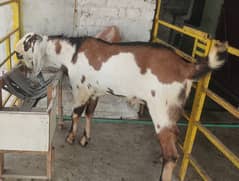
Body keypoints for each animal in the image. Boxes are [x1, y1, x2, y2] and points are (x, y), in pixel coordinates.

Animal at [14, 31, 228, 180]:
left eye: (25, 44)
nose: (15, 54)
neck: (71, 53)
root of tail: (186, 67)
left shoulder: (80, 89)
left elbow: (76, 113)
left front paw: (71, 137)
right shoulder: (95, 91)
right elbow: (90, 113)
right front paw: (85, 139)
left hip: (161, 109)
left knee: (172, 154)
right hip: (172, 110)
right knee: (173, 136)